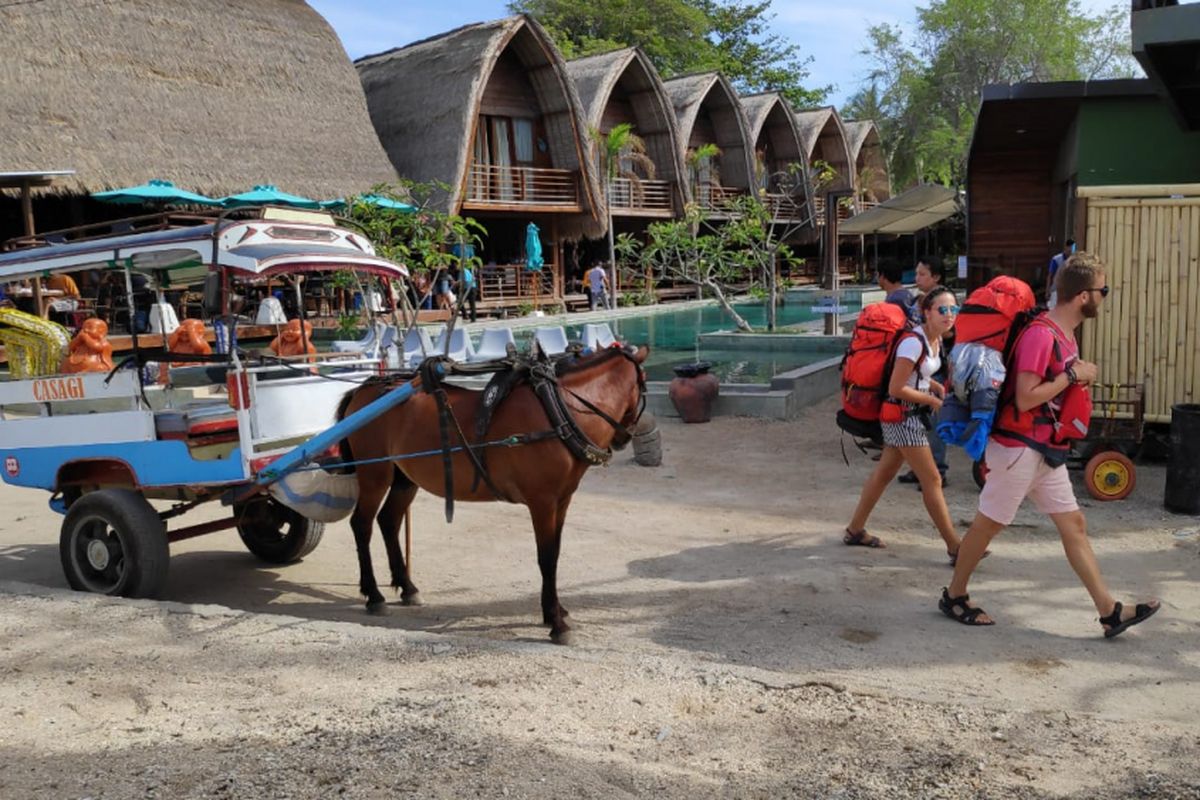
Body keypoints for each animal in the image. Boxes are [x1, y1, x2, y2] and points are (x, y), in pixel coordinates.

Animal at [333, 345, 652, 642]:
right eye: (644, 383)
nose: (623, 438)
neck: (559, 410)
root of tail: (364, 389)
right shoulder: (543, 502)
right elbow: (546, 557)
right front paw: (556, 623)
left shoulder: (562, 500)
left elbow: (556, 553)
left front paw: (556, 611)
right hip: (375, 474)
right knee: (362, 525)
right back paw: (374, 595)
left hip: (404, 478)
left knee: (388, 521)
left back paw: (408, 588)